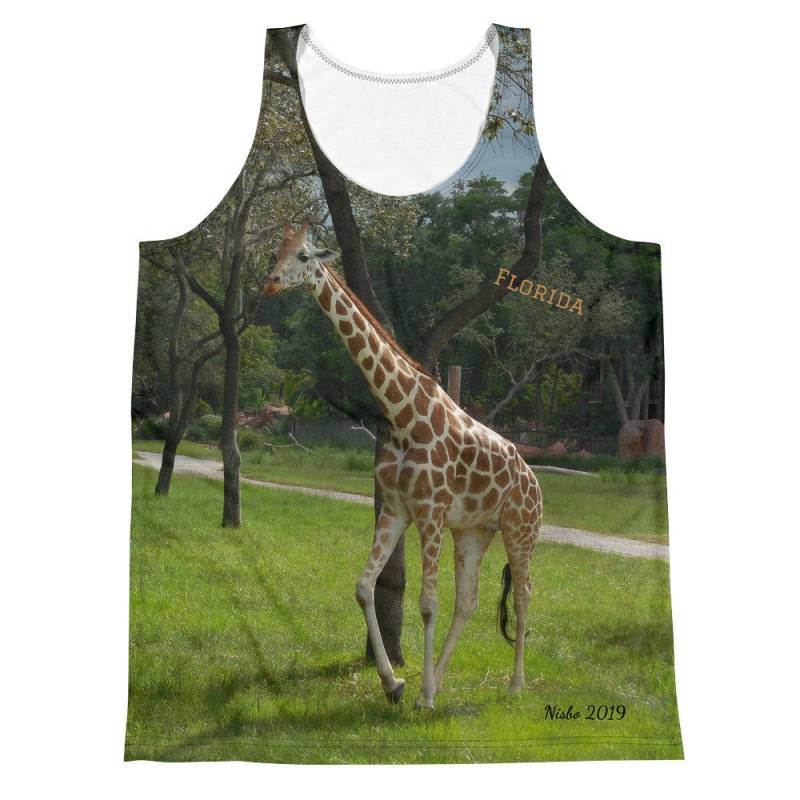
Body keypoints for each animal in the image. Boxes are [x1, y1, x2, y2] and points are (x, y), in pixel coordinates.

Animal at [263, 220, 543, 709]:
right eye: (275, 250)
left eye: (304, 256)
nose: (271, 282)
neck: (399, 411)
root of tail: (537, 484)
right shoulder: (395, 508)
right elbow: (363, 586)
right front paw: (395, 684)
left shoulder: (429, 511)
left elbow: (427, 603)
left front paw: (421, 696)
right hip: (474, 530)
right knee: (469, 600)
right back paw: (440, 681)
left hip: (520, 530)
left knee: (524, 594)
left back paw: (512, 686)